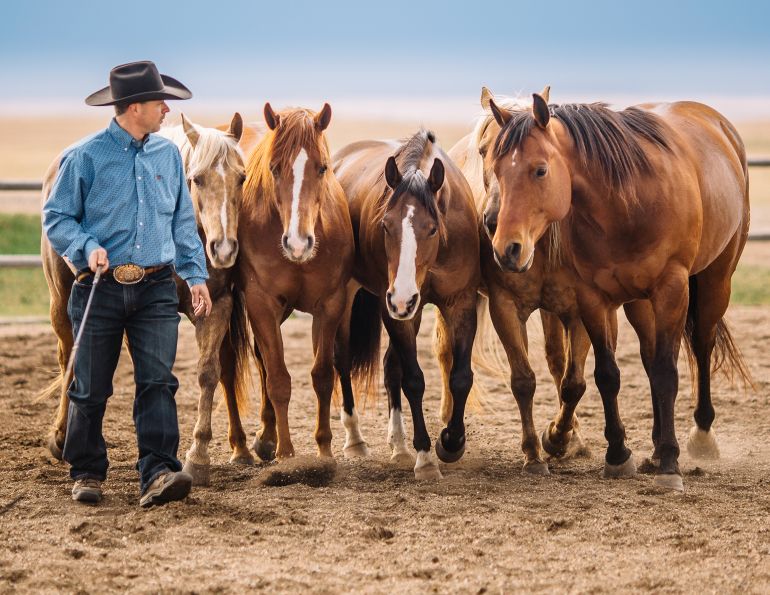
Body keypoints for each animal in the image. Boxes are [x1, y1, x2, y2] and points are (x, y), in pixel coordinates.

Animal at [225, 103, 355, 461]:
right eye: (274, 168)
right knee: (233, 367)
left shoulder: (331, 305)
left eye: (322, 167)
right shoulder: (260, 303)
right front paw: (285, 452)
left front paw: (324, 449)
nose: (298, 243)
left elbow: (322, 375)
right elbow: (279, 380)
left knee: (261, 359)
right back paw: (243, 445)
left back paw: (264, 437)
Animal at [332, 130, 480, 480]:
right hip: (355, 297)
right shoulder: (396, 312)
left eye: (432, 228)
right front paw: (426, 457)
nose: (401, 297)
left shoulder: (460, 303)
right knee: (342, 359)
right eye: (386, 225)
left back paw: (398, 446)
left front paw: (451, 442)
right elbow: (414, 380)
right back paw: (355, 440)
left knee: (390, 367)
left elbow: (460, 376)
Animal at [445, 86, 591, 473]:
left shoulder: (580, 309)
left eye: (541, 169)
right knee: (445, 355)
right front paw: (532, 453)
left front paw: (559, 438)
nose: (493, 224)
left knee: (557, 362)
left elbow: (572, 380)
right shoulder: (505, 307)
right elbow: (523, 380)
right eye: (486, 154)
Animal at [487, 90, 751, 490]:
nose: (506, 249)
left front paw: (671, 464)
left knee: (701, 346)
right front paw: (618, 455)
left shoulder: (672, 288)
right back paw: (655, 449)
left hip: (714, 281)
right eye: (496, 170)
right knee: (649, 356)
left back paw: (700, 436)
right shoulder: (593, 298)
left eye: (540, 170)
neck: (627, 202)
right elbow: (608, 375)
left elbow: (667, 373)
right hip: (639, 303)